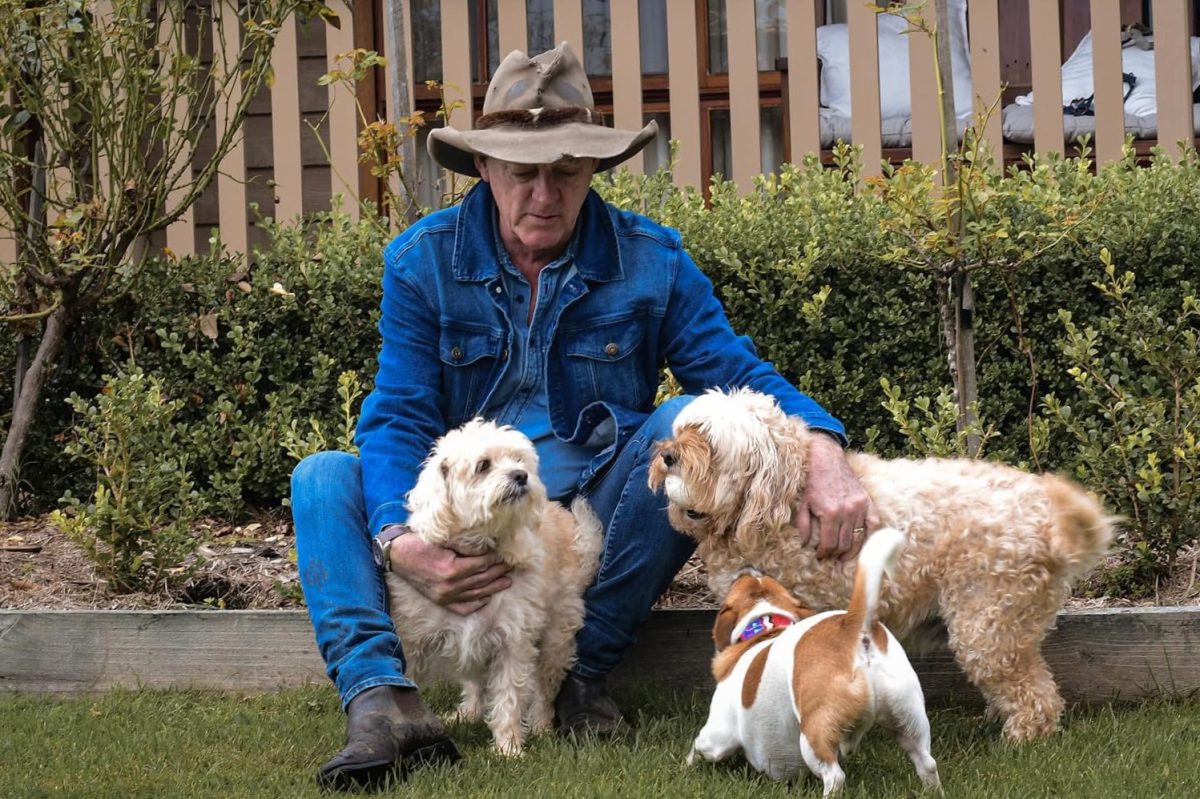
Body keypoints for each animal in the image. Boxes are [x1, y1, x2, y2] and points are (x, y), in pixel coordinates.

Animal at [388, 417, 604, 753]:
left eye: (519, 461)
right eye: (483, 465)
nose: (521, 475)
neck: (479, 545)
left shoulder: (512, 642)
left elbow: (509, 698)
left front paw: (508, 749)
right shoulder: (413, 641)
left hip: (556, 636)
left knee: (544, 689)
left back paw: (540, 727)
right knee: (475, 683)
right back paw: (467, 714)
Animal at [648, 386, 1113, 739]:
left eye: (708, 442)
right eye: (684, 430)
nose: (666, 455)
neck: (781, 501)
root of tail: (1047, 522)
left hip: (988, 624)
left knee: (1036, 692)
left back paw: (1021, 738)